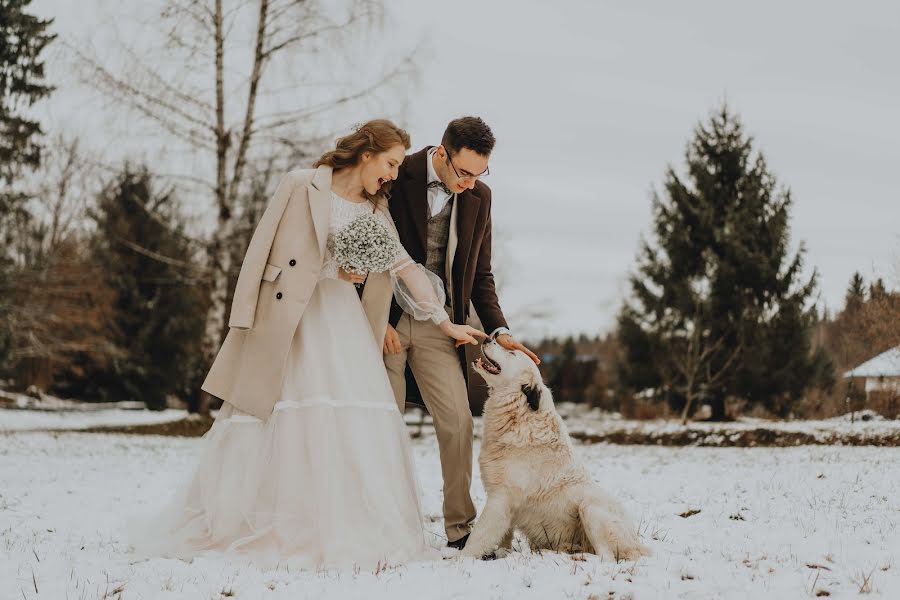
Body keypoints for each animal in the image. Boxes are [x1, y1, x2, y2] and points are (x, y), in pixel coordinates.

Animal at [464, 340, 648, 560]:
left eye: (511, 352)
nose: (488, 339)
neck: (519, 415)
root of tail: (638, 545)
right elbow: (502, 536)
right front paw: (500, 553)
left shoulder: (500, 498)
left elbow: (479, 534)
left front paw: (458, 558)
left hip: (590, 508)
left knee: (606, 557)